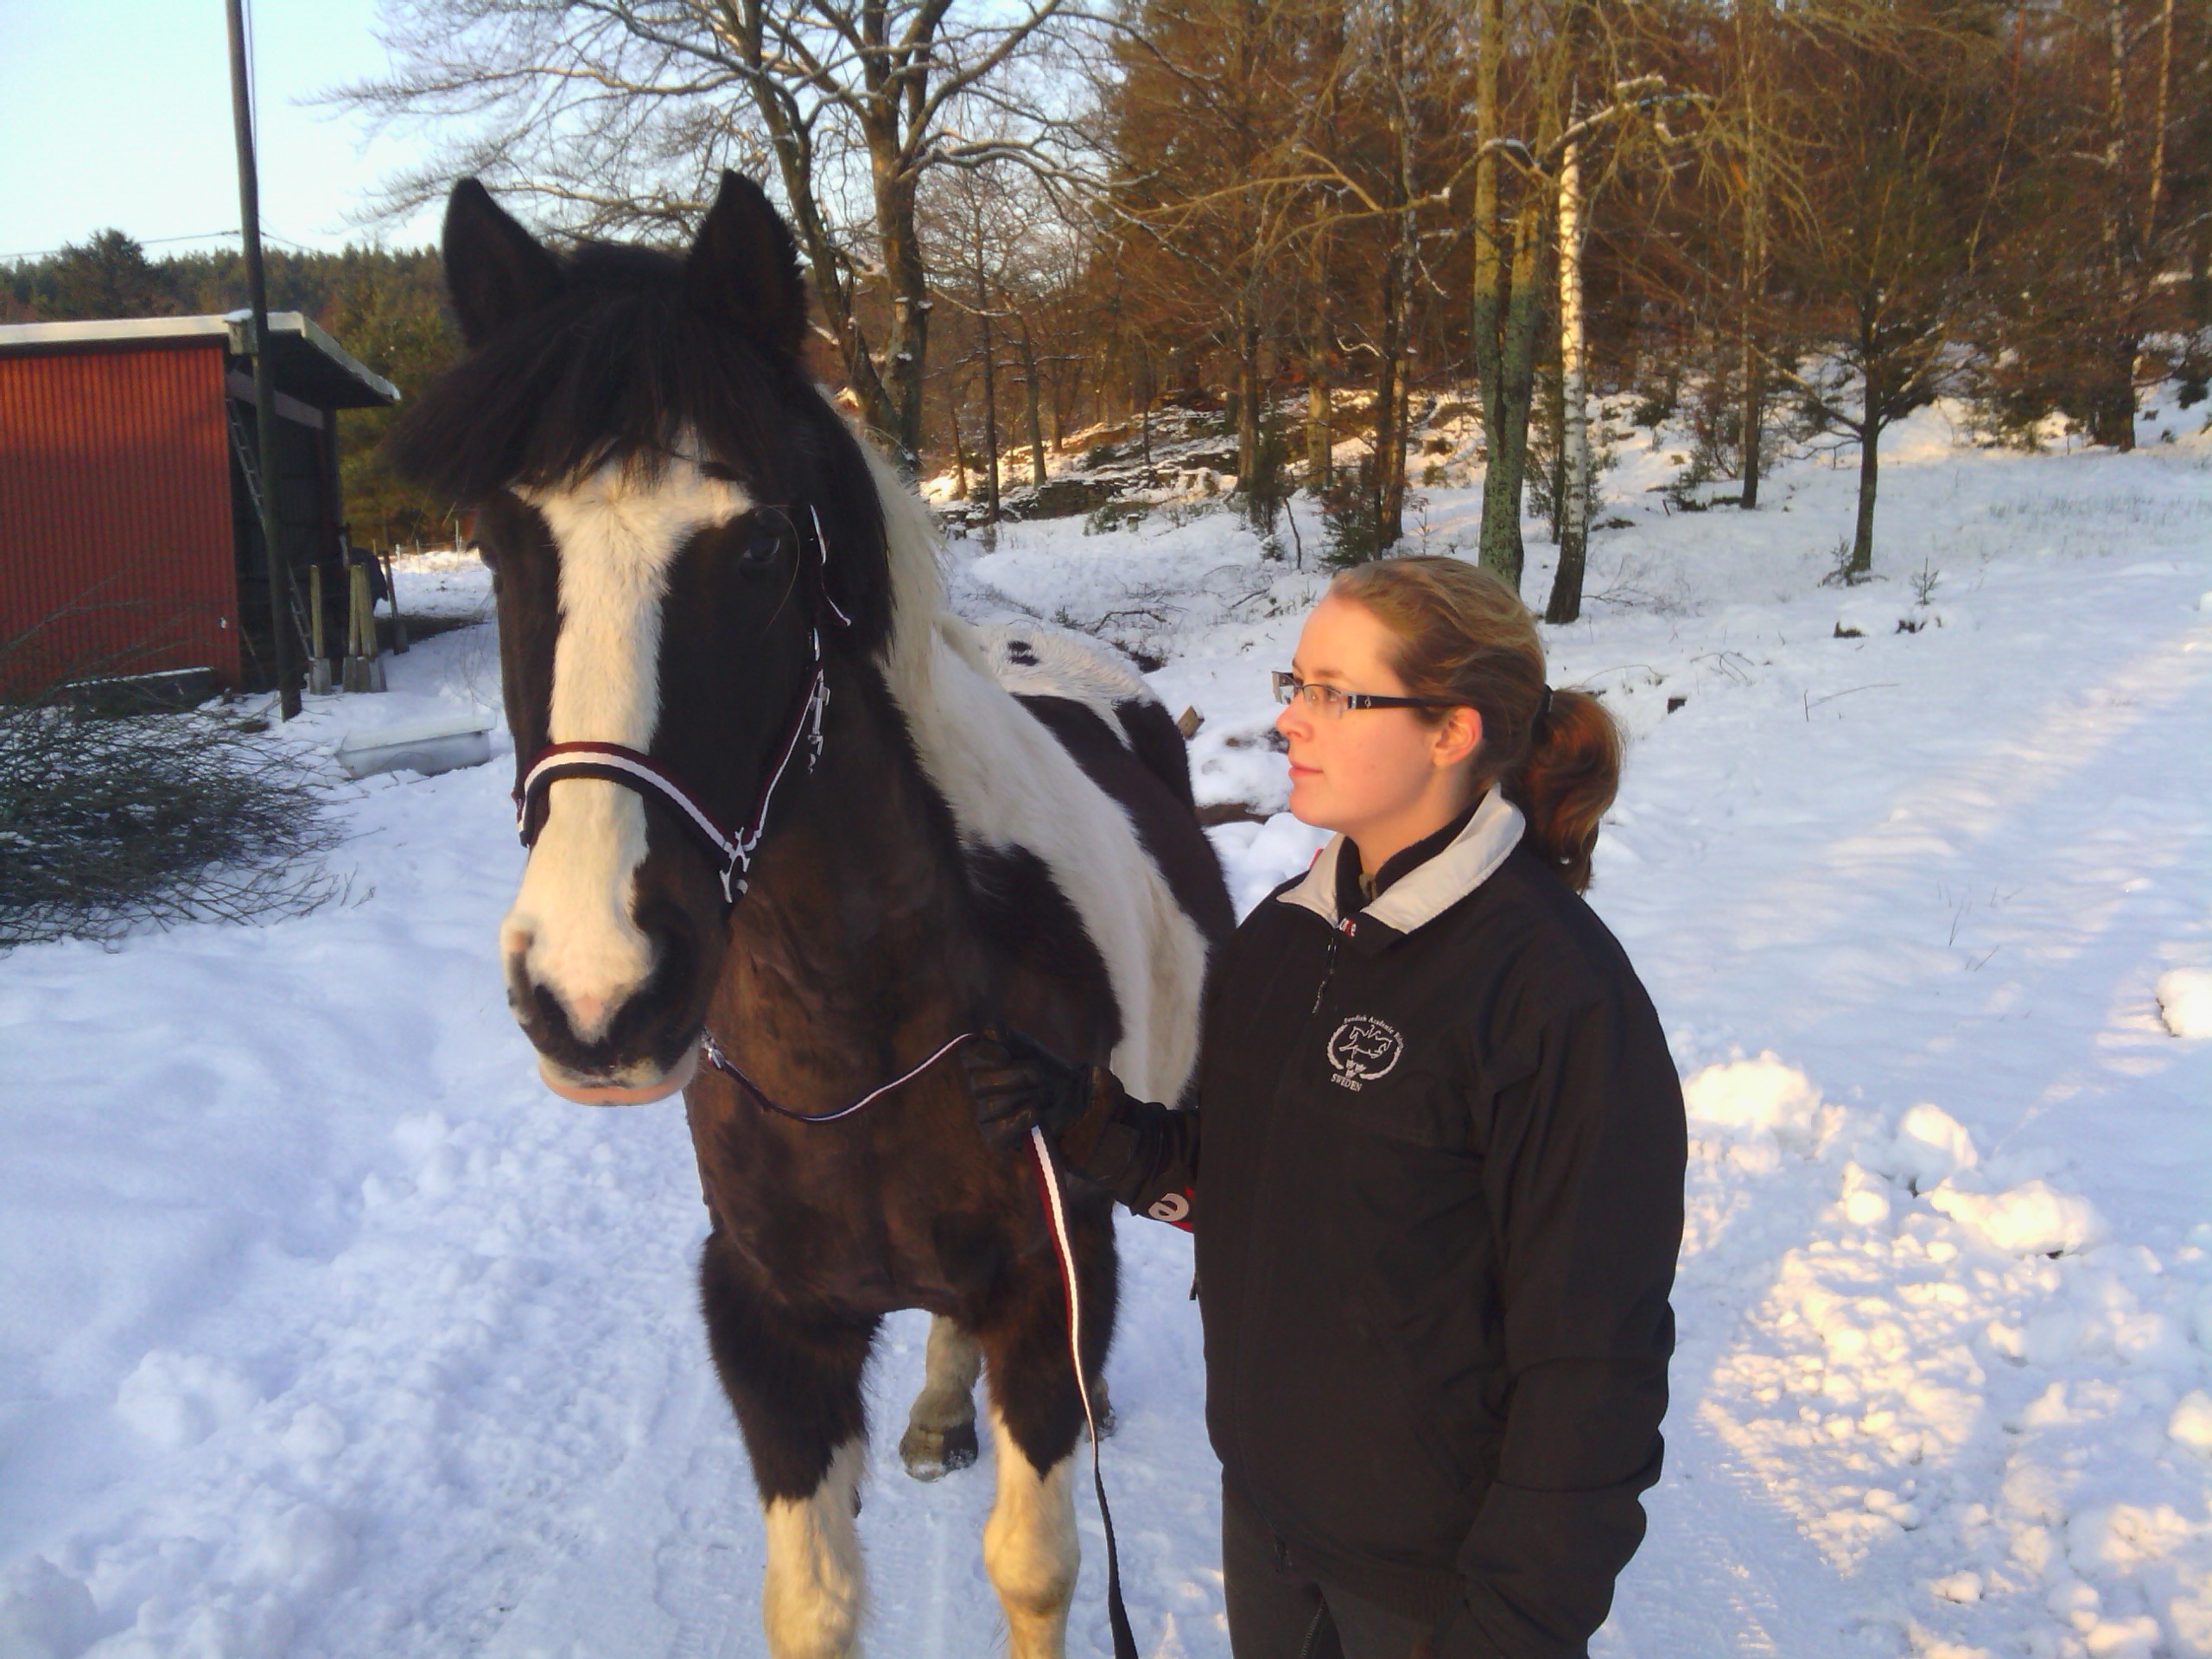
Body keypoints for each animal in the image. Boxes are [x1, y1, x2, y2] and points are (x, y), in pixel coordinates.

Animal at [385, 171, 1234, 1659]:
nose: (595, 994)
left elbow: (1035, 1567)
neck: (864, 1029)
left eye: (764, 547)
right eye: (497, 541)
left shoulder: (1046, 1283)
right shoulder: (770, 1325)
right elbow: (814, 1602)